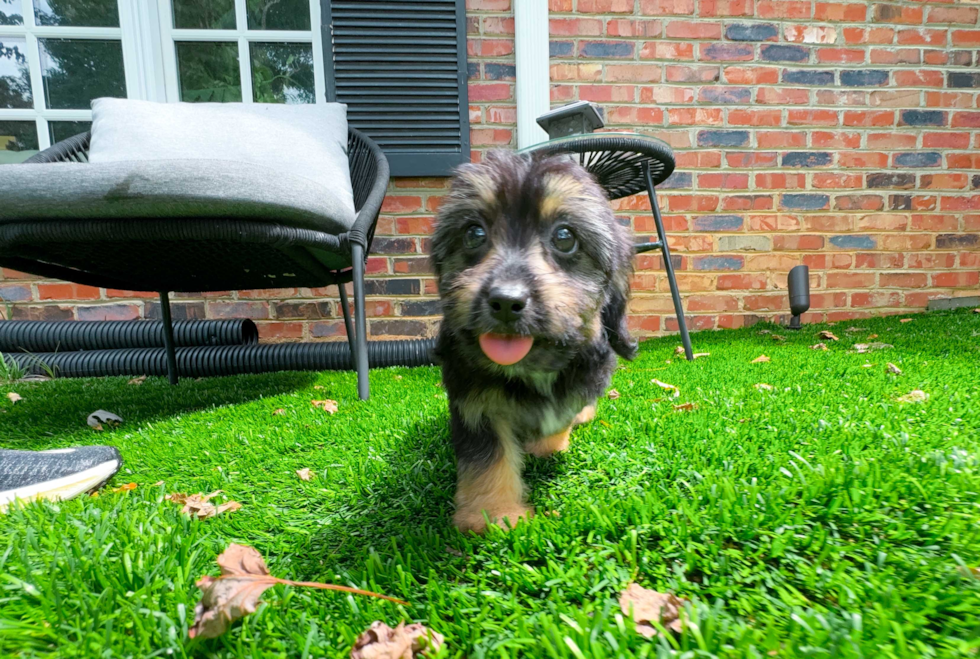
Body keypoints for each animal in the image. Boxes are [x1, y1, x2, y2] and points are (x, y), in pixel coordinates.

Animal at [428, 152, 636, 532]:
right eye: (474, 233)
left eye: (565, 236)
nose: (505, 301)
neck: (534, 368)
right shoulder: (476, 404)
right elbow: (488, 456)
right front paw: (493, 514)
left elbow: (560, 417)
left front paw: (548, 443)